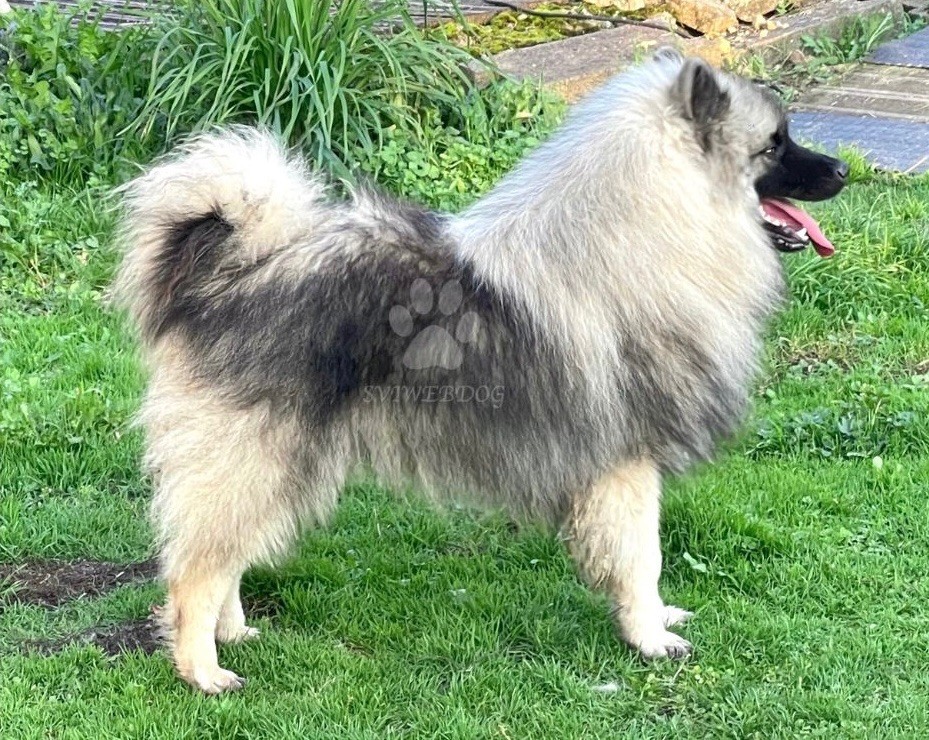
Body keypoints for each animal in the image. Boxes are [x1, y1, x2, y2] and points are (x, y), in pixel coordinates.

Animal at [112, 49, 844, 692]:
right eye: (774, 145)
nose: (842, 168)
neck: (650, 229)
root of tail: (228, 274)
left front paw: (657, 619)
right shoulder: (625, 466)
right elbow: (643, 558)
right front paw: (650, 638)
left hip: (273, 462)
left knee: (223, 554)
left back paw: (232, 633)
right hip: (255, 455)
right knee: (195, 572)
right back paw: (202, 670)